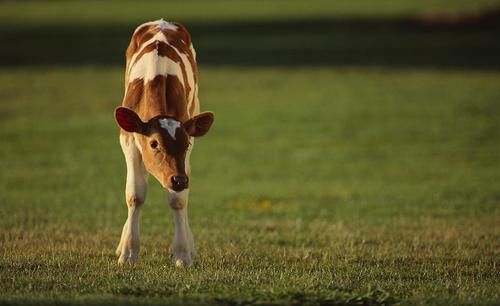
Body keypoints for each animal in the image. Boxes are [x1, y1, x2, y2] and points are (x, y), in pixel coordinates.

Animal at [114, 19, 214, 268]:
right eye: (154, 144)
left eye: (185, 144)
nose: (178, 180)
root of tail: (161, 22)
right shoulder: (128, 139)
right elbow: (134, 194)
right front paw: (128, 252)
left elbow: (178, 200)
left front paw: (183, 253)